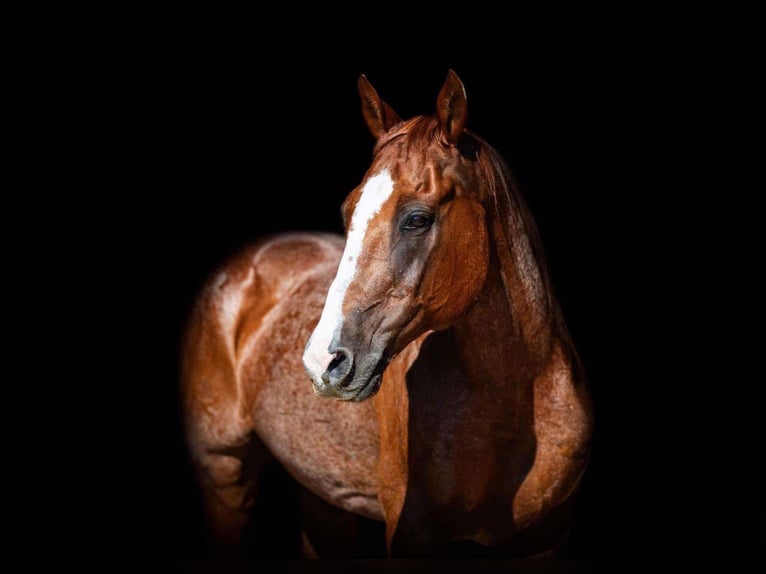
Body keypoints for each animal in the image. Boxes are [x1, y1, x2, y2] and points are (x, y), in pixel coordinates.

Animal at [180, 70, 593, 558]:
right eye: (349, 210)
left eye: (417, 219)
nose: (322, 361)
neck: (510, 403)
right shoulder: (413, 535)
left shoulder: (545, 540)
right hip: (225, 475)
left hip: (324, 498)